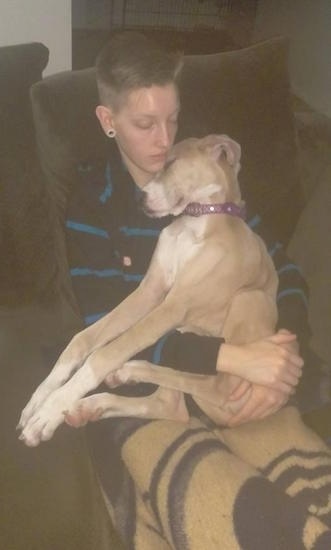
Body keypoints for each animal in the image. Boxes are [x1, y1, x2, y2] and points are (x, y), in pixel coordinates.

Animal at [18, 135, 280, 448]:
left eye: (171, 163)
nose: (139, 198)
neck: (195, 220)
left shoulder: (173, 306)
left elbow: (104, 354)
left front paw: (50, 411)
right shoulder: (150, 292)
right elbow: (82, 339)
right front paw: (39, 400)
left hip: (249, 299)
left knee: (217, 385)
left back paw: (120, 377)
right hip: (190, 329)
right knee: (172, 404)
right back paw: (106, 392)